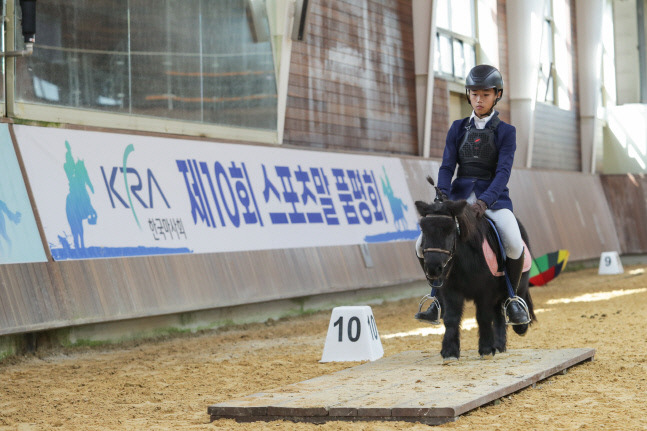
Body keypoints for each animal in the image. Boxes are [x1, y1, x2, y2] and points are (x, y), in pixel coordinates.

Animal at [418, 176, 536, 362]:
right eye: (423, 229)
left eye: (450, 229)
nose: (433, 268)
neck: (465, 260)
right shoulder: (451, 290)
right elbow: (451, 318)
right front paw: (450, 351)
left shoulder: (485, 292)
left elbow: (483, 318)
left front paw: (486, 349)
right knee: (499, 314)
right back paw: (499, 344)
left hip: (516, 282)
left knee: (509, 303)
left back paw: (516, 325)